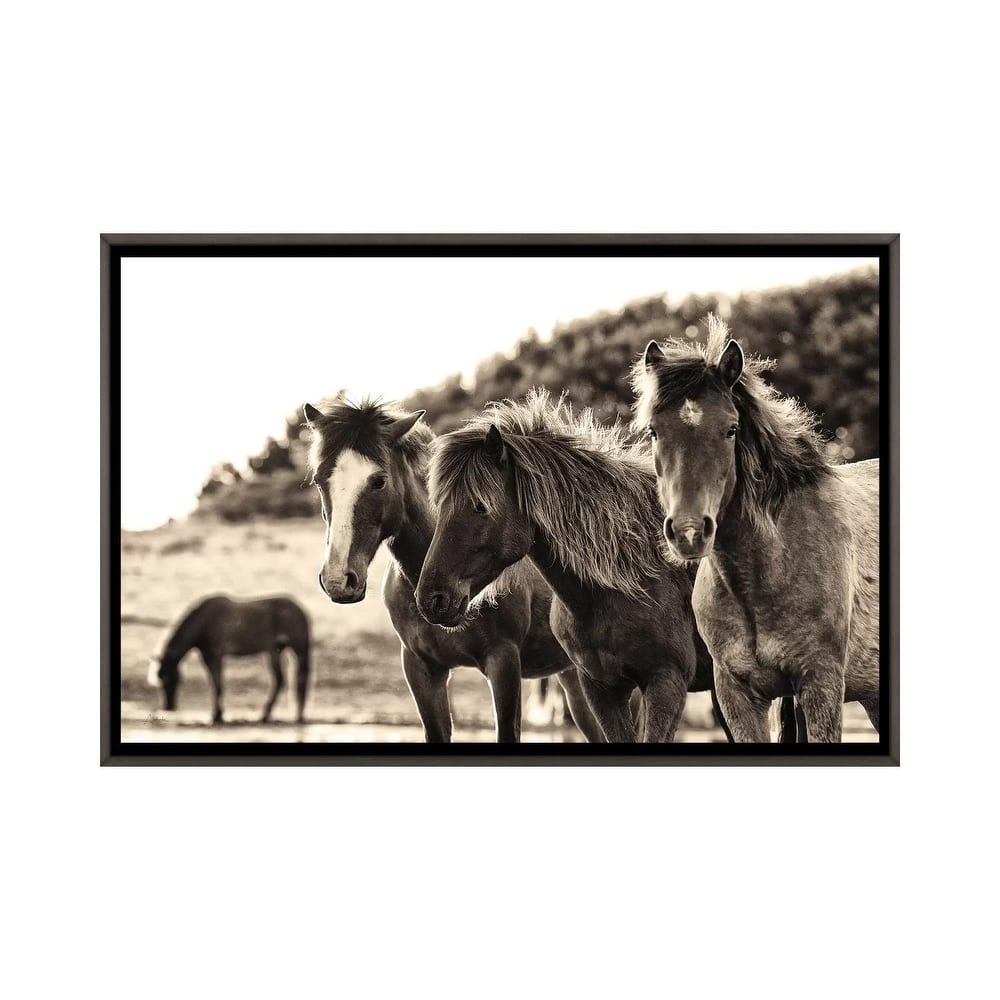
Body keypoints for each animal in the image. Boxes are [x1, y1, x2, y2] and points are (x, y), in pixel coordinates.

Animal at [146, 594, 311, 724]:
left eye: (170, 679)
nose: (168, 707)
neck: (204, 622)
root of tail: (299, 609)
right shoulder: (207, 657)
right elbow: (215, 684)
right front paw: (217, 714)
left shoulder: (215, 657)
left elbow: (218, 684)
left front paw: (217, 716)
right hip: (275, 652)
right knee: (281, 680)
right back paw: (271, 716)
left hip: (298, 650)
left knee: (298, 678)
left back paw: (288, 716)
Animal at [301, 397, 604, 743]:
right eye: (319, 480)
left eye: (378, 481)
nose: (339, 580)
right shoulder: (421, 669)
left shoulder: (503, 662)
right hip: (574, 679)